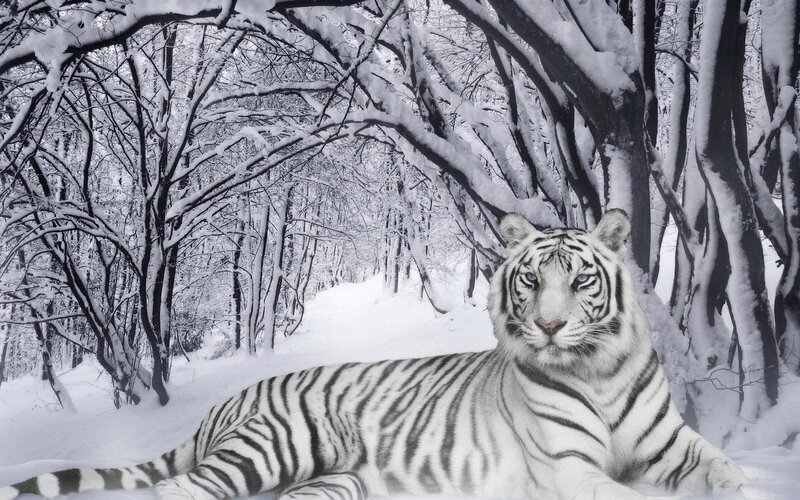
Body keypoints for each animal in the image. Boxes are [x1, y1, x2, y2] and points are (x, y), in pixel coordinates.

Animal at [0, 210, 747, 500]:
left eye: (581, 280)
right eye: (532, 280)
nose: (551, 327)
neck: (598, 371)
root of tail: (224, 404)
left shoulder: (674, 445)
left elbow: (729, 471)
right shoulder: (568, 469)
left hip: (331, 482)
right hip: (276, 445)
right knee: (181, 489)